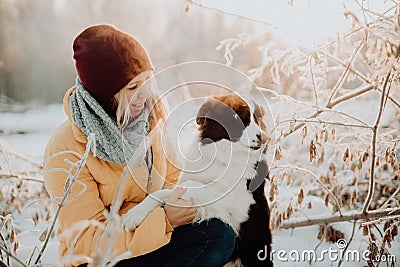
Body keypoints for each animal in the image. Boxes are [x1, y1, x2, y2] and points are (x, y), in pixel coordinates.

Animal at [123, 94, 274, 266]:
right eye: (237, 116)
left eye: (258, 117)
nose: (265, 138)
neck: (222, 158)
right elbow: (163, 192)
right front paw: (134, 214)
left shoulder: (238, 202)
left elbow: (186, 186)